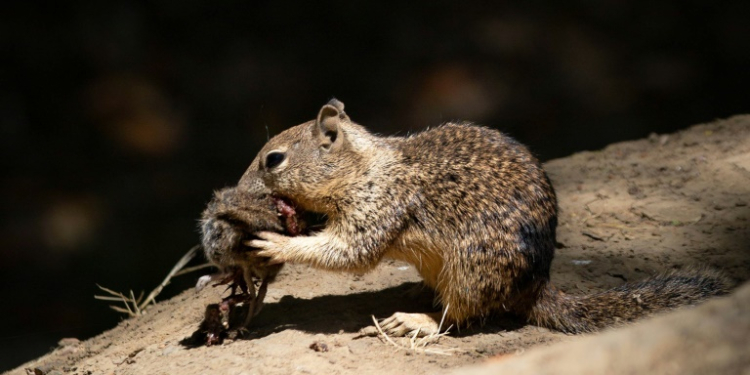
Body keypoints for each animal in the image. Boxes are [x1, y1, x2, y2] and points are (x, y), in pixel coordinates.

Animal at [238, 99, 732, 334]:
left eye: (273, 159)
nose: (239, 189)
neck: (365, 167)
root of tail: (534, 285)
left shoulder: (379, 205)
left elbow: (349, 252)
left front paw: (275, 243)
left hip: (471, 269)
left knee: (460, 317)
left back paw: (416, 321)